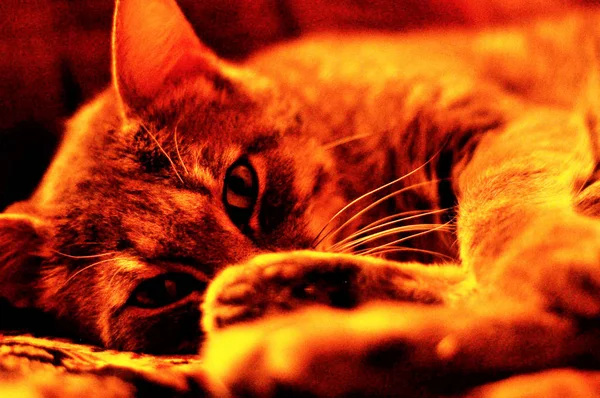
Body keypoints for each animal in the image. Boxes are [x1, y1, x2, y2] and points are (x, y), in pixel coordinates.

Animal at [1, 0, 600, 392]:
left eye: (240, 186)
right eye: (160, 290)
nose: (244, 267)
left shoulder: (499, 126)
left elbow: (500, 208)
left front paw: (543, 257)